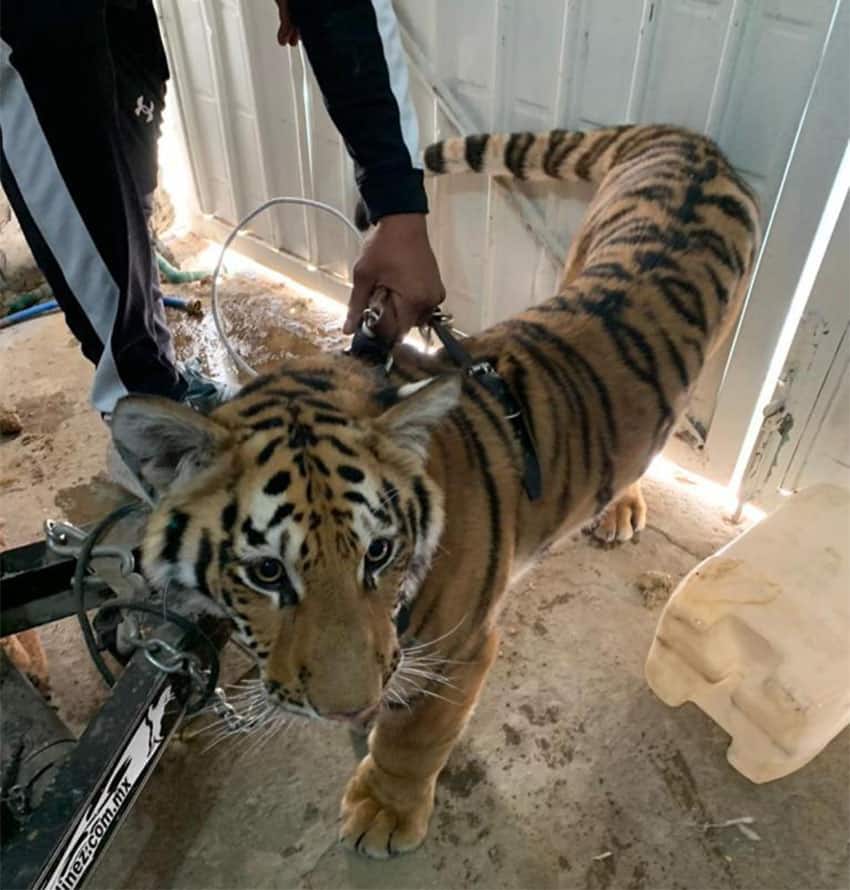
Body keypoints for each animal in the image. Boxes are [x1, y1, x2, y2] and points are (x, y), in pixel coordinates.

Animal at [109, 123, 760, 852]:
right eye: (266, 571)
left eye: (379, 553)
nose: (348, 707)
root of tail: (691, 145)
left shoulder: (461, 649)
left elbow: (416, 735)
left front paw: (384, 810)